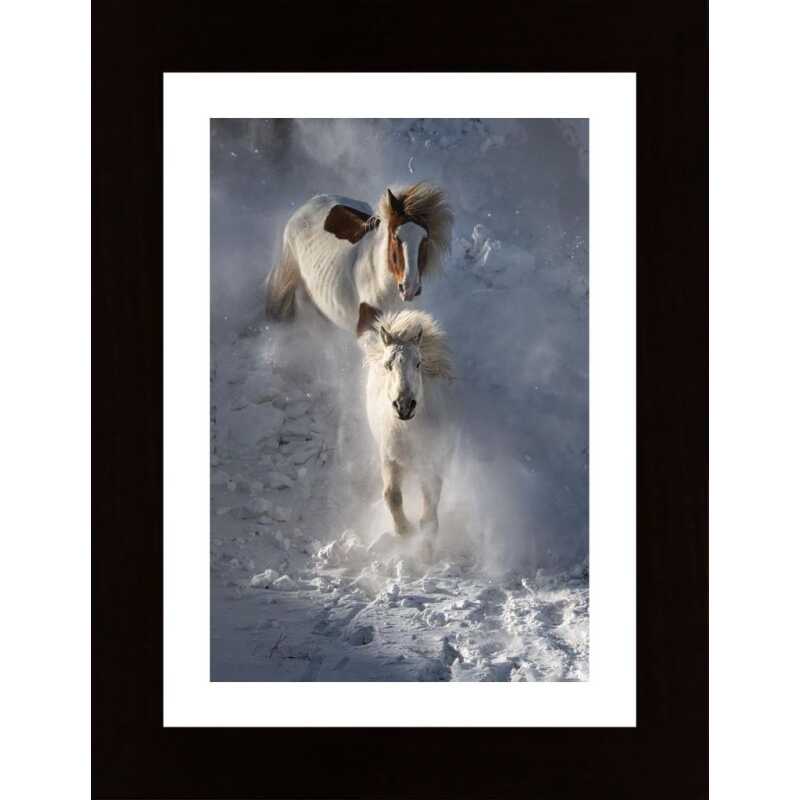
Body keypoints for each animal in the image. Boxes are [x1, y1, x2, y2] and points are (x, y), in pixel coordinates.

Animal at [360, 304, 457, 542]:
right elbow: (392, 495)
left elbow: (429, 517)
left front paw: (424, 548)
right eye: (388, 365)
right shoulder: (389, 459)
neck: (409, 432)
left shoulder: (431, 465)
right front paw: (404, 530)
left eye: (418, 363)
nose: (404, 405)